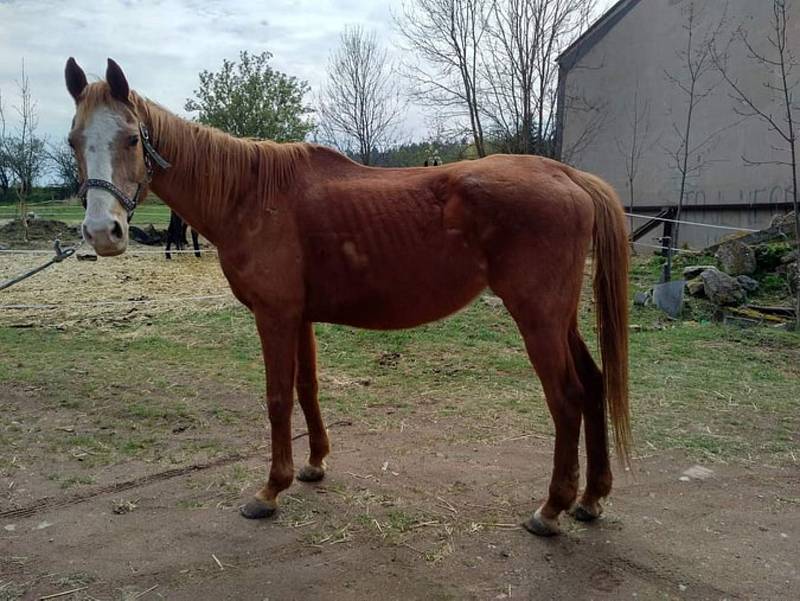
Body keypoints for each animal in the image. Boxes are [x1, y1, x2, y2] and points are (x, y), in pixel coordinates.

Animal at [64, 57, 632, 536]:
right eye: (72, 141)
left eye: (132, 139)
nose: (102, 232)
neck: (251, 195)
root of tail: (565, 173)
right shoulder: (299, 317)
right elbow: (307, 388)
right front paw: (313, 465)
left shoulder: (274, 316)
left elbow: (277, 397)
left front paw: (269, 490)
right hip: (559, 318)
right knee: (594, 384)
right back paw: (590, 499)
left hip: (537, 318)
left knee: (567, 398)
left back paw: (551, 508)